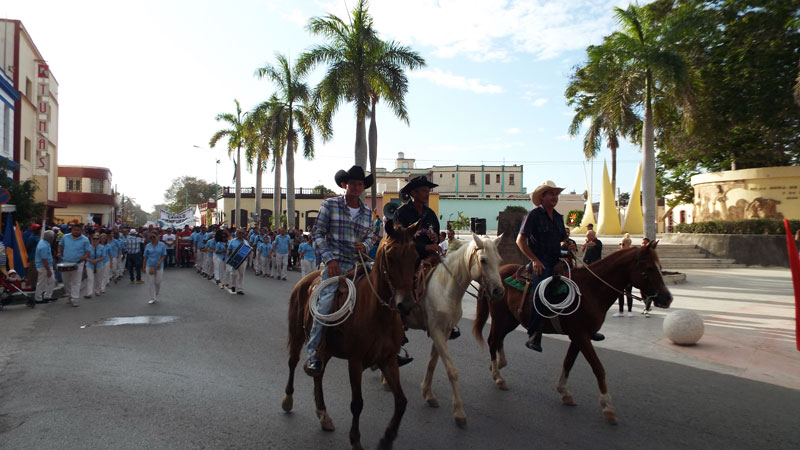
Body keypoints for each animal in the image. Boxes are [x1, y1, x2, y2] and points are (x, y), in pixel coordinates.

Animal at [282, 221, 418, 450]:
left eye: (414, 256)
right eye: (390, 256)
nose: (405, 304)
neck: (379, 315)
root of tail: (306, 280)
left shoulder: (388, 360)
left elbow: (401, 402)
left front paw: (387, 439)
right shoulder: (355, 362)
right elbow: (357, 403)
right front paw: (355, 440)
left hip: (326, 350)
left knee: (318, 373)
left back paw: (323, 415)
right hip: (297, 333)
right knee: (292, 362)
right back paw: (288, 400)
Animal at [400, 234, 506, 428]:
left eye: (499, 260)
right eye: (483, 260)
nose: (499, 292)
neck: (445, 289)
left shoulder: (445, 331)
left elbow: (432, 363)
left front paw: (428, 394)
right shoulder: (436, 331)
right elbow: (451, 370)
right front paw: (459, 413)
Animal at [472, 241, 672, 424]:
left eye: (660, 268)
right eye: (649, 268)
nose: (667, 298)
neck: (591, 290)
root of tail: (498, 273)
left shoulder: (580, 336)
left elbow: (568, 362)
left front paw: (564, 391)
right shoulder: (580, 335)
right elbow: (598, 367)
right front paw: (607, 406)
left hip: (511, 319)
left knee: (499, 339)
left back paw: (499, 364)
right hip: (500, 317)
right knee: (493, 341)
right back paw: (498, 376)